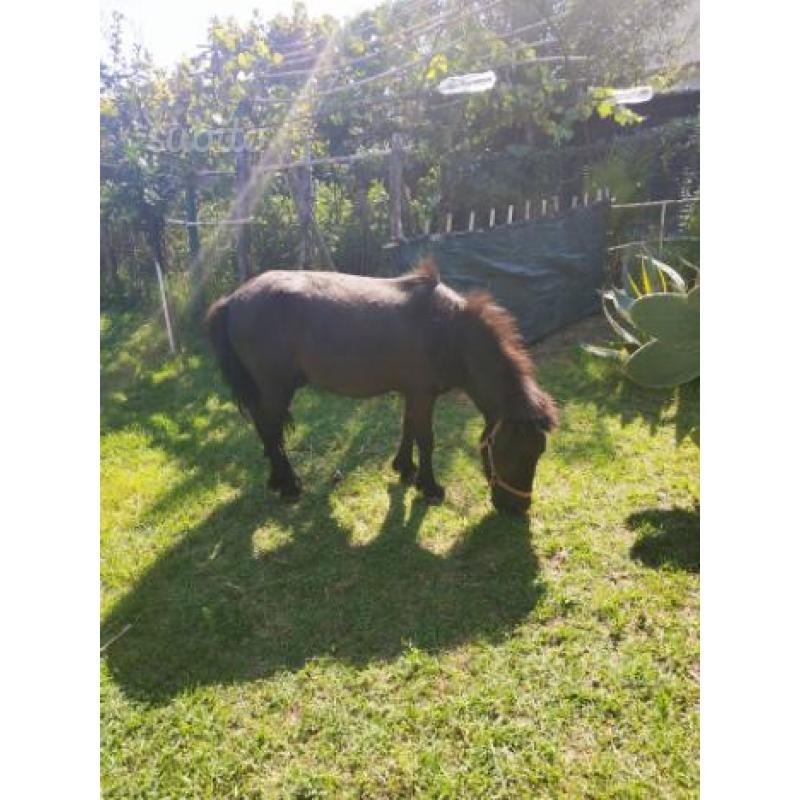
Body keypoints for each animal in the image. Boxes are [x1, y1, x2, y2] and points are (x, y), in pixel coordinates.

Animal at [206, 259, 558, 514]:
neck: (449, 331)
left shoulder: (412, 393)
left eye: (538, 451)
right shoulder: (423, 395)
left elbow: (408, 428)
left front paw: (404, 468)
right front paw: (430, 487)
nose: (517, 508)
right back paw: (290, 485)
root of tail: (233, 300)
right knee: (271, 431)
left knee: (266, 430)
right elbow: (426, 439)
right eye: (511, 452)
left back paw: (277, 480)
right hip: (275, 389)